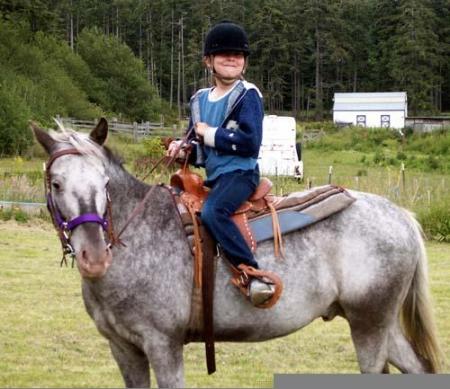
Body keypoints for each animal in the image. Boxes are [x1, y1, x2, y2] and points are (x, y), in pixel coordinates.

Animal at [32, 119, 442, 386]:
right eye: (56, 184)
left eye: (104, 183)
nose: (94, 256)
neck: (142, 235)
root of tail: (401, 215)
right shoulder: (123, 348)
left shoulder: (163, 345)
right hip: (381, 324)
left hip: (369, 324)